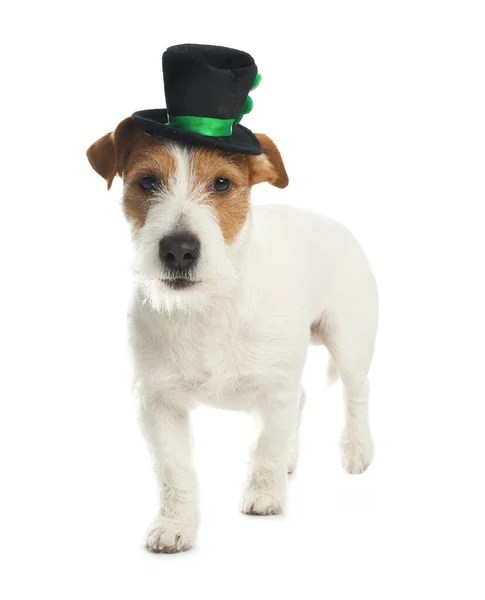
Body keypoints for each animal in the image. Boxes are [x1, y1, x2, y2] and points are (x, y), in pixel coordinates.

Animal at [85, 117, 376, 552]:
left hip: (349, 339)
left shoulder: (276, 386)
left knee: (355, 394)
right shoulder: (158, 402)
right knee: (303, 401)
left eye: (222, 184)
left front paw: (264, 494)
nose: (179, 250)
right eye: (147, 182)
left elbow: (267, 445)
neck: (209, 304)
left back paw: (357, 451)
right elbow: (174, 470)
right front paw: (175, 524)